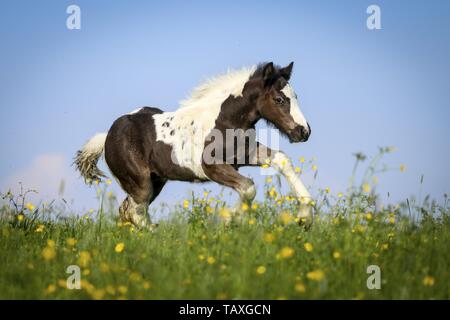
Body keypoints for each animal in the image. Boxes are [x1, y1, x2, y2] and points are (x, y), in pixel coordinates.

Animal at [74, 62, 312, 228]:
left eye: (296, 96)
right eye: (279, 99)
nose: (304, 131)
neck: (225, 119)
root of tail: (107, 136)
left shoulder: (245, 155)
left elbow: (281, 159)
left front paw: (305, 218)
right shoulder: (211, 167)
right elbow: (248, 187)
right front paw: (230, 221)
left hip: (155, 181)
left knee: (127, 211)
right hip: (140, 183)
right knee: (135, 212)